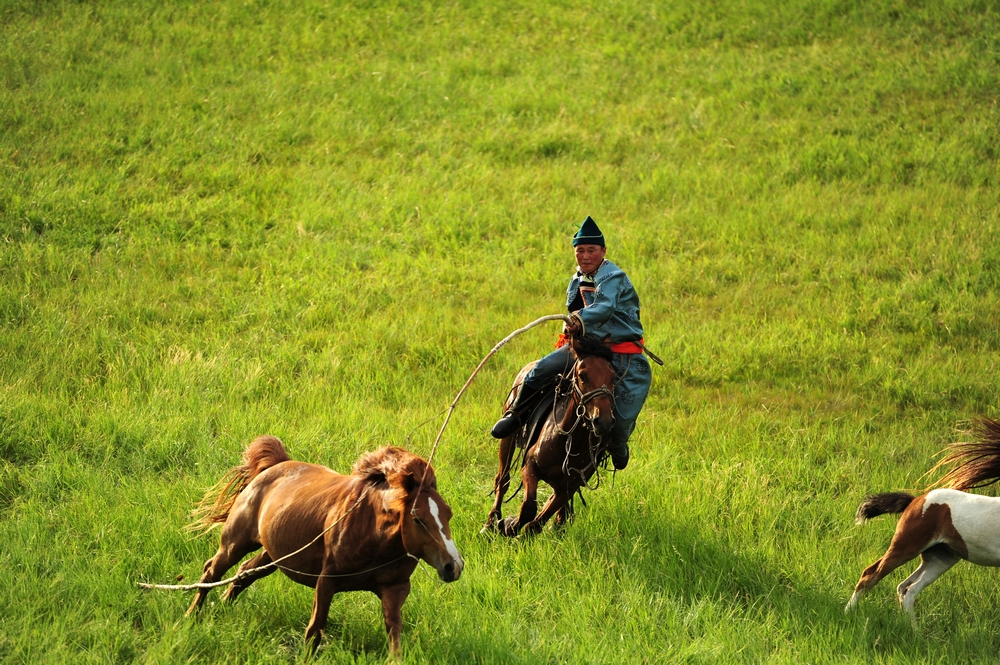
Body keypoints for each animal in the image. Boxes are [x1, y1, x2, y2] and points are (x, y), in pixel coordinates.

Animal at [185, 434, 464, 656]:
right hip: (235, 542)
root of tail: (274, 465)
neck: (374, 535)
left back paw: (223, 605)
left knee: (244, 573)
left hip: (272, 555)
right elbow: (315, 629)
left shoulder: (395, 588)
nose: (454, 566)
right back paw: (191, 616)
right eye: (418, 518)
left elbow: (394, 635)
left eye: (448, 514)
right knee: (211, 571)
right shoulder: (327, 580)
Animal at [482, 334, 616, 536]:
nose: (604, 421)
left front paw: (515, 528)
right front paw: (509, 525)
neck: (569, 440)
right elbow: (529, 507)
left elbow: (538, 521)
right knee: (502, 480)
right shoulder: (530, 465)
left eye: (613, 376)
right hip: (507, 439)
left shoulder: (570, 485)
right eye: (582, 375)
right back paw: (490, 523)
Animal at [848, 418, 1000, 616]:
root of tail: (915, 501)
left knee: (908, 588)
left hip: (941, 557)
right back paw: (848, 612)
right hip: (907, 546)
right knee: (871, 575)